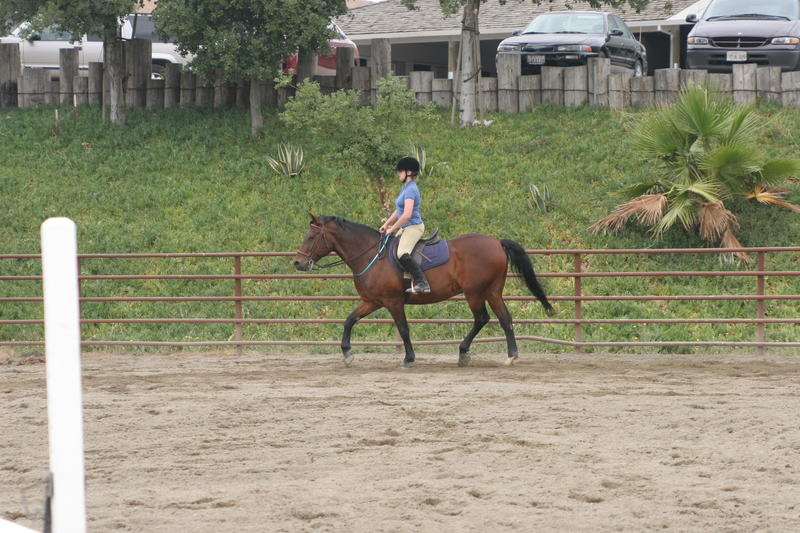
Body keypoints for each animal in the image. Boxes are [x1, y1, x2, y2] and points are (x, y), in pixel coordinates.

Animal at [293, 213, 555, 369]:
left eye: (312, 236)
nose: (297, 262)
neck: (371, 256)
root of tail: (496, 242)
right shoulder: (371, 301)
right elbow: (349, 320)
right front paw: (347, 354)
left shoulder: (393, 301)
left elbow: (404, 329)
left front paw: (408, 359)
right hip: (492, 292)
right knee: (505, 318)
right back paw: (510, 355)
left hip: (474, 293)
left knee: (482, 318)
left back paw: (464, 353)